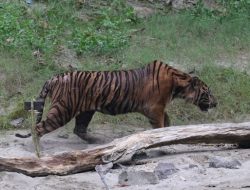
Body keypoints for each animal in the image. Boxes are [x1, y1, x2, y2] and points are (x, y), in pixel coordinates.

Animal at [15, 60, 217, 142]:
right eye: (208, 92)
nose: (216, 103)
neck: (178, 83)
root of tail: (55, 77)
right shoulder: (155, 108)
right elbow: (160, 124)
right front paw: (160, 136)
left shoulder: (160, 108)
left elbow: (167, 121)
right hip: (63, 109)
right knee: (38, 128)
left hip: (85, 111)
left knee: (78, 129)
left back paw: (96, 141)